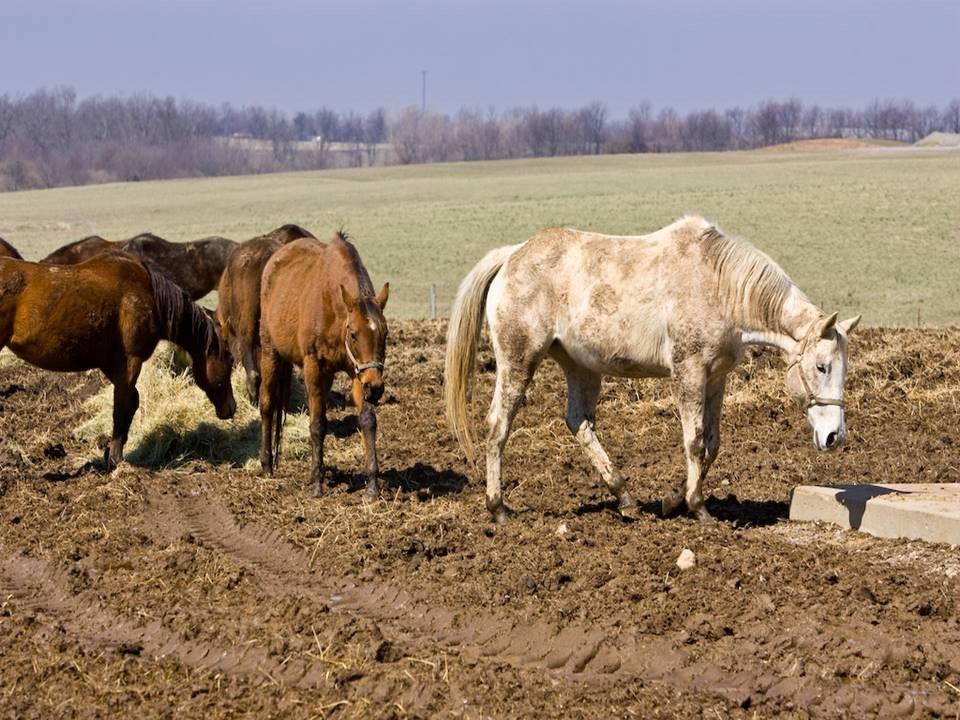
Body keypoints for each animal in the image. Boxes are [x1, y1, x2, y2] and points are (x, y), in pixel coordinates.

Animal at [0, 253, 237, 466]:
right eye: (229, 358)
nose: (231, 408)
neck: (149, 295)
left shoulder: (112, 364)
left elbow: (130, 401)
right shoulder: (131, 362)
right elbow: (122, 406)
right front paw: (115, 458)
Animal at [258, 231, 390, 496]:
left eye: (385, 333)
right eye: (353, 334)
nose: (376, 387)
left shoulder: (357, 372)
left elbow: (367, 420)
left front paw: (372, 484)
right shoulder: (314, 368)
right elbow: (317, 424)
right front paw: (317, 484)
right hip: (270, 352)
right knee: (267, 404)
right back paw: (267, 465)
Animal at [444, 215, 864, 524]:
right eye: (821, 366)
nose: (834, 437)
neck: (719, 286)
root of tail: (512, 256)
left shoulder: (716, 377)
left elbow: (712, 444)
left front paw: (673, 500)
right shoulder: (689, 373)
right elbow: (694, 440)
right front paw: (698, 508)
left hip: (581, 366)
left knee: (579, 422)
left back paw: (626, 498)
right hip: (518, 362)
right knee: (498, 426)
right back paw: (498, 508)